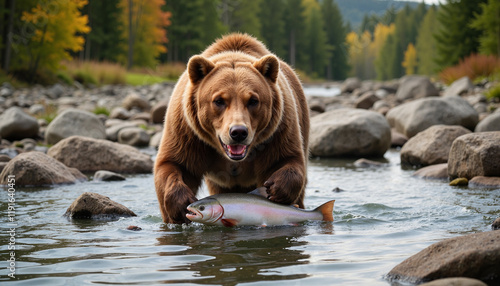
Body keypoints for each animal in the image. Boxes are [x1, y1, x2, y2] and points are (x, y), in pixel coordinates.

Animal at [153, 33, 308, 223]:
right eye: (219, 100)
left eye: (253, 100)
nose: (238, 132)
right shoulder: (187, 132)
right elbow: (174, 163)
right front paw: (181, 203)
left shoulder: (279, 129)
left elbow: (287, 158)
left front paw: (277, 187)